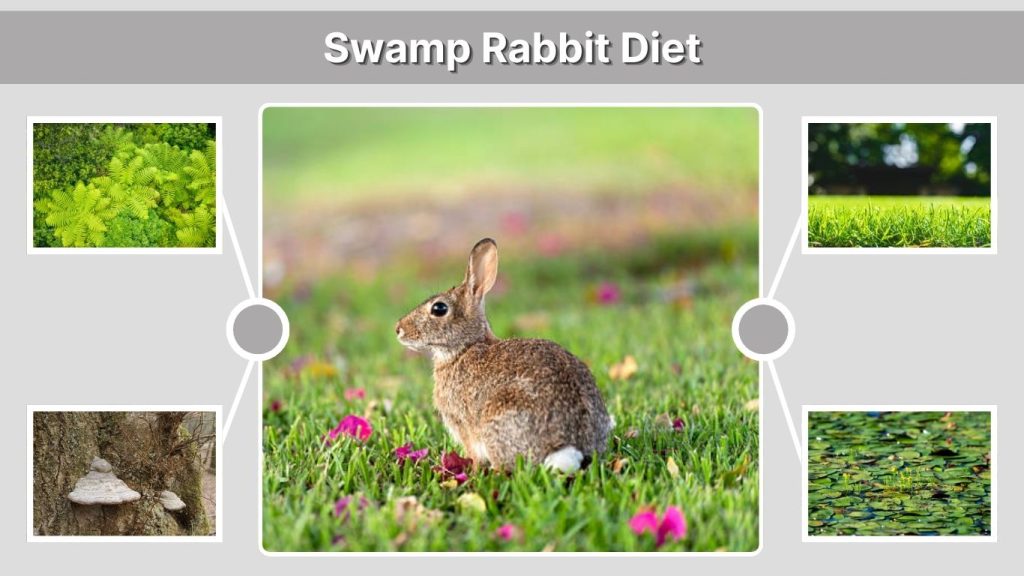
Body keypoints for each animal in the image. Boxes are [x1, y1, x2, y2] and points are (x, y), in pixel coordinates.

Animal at [396, 238, 612, 473]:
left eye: (439, 309)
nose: (398, 329)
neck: (465, 348)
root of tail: (571, 448)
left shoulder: (463, 425)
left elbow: (473, 454)